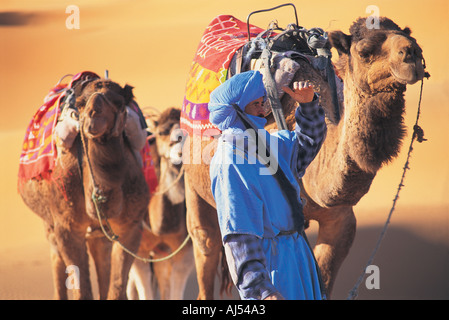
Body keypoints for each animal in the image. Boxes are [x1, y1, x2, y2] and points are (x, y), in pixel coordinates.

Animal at [18, 78, 149, 300]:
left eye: (119, 103)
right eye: (80, 104)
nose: (93, 116)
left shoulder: (131, 227)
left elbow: (116, 288)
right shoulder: (67, 227)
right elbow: (82, 290)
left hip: (98, 233)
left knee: (101, 256)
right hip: (49, 221)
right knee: (56, 258)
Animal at [183, 16, 428, 298]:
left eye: (409, 35)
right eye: (364, 51)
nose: (411, 53)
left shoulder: (341, 220)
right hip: (193, 188)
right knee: (206, 244)